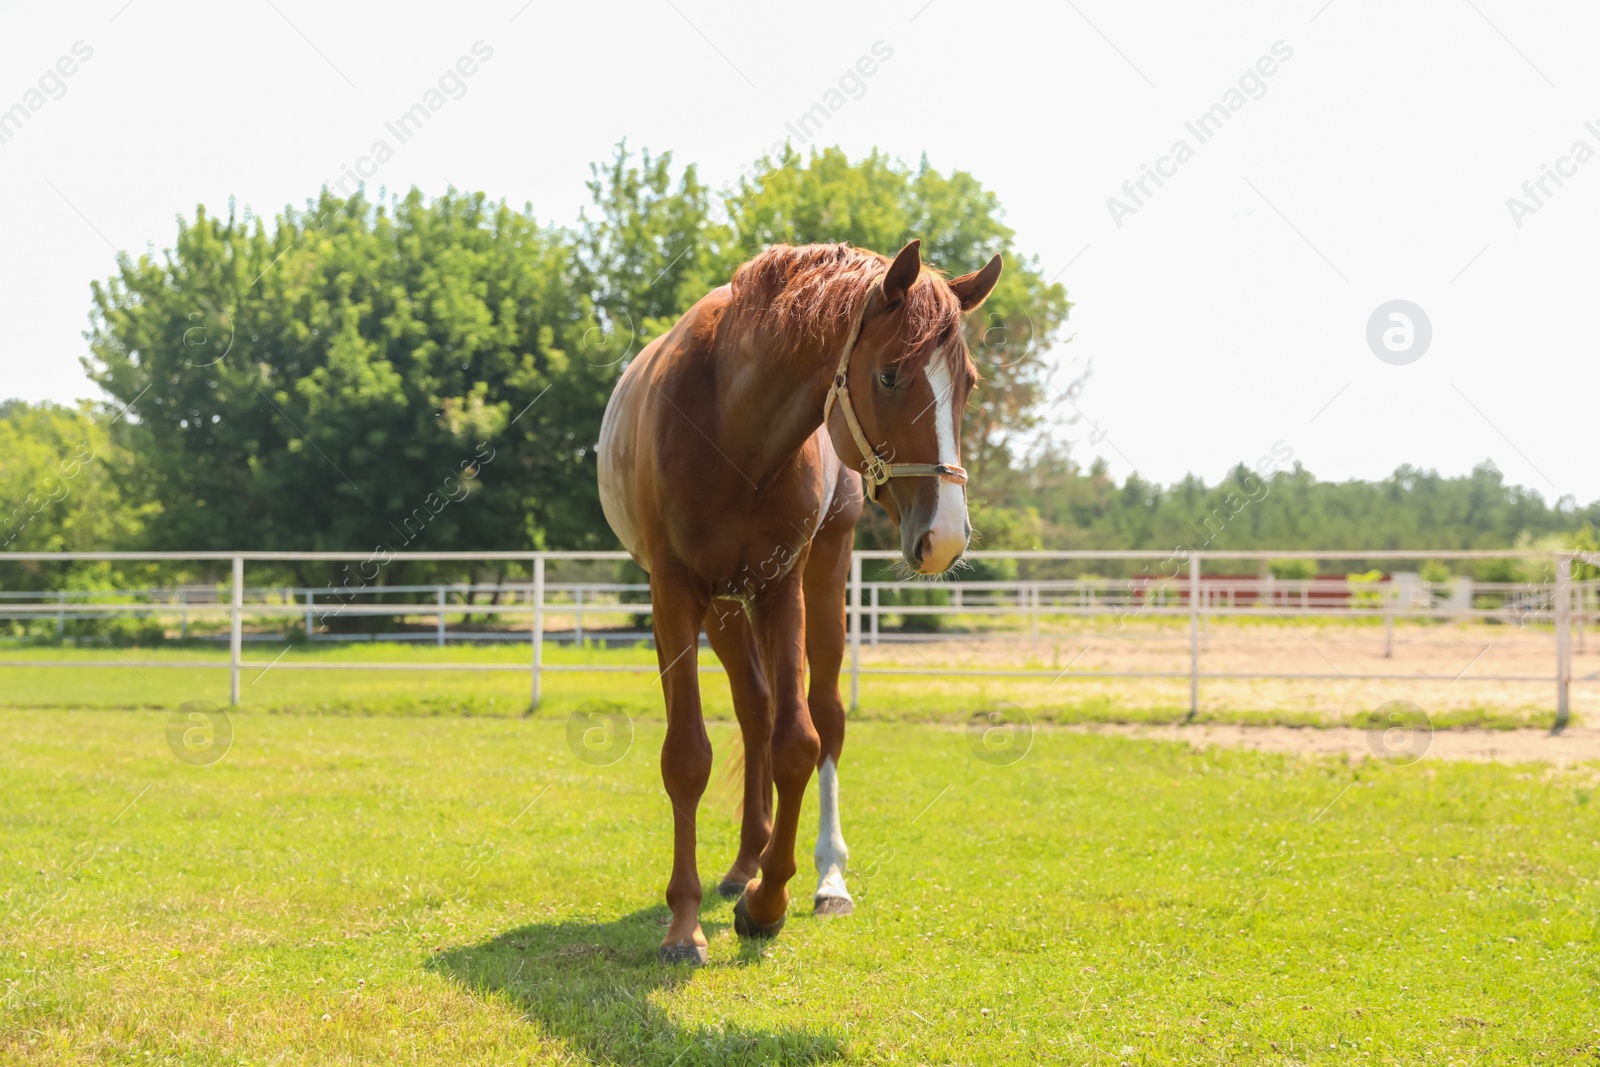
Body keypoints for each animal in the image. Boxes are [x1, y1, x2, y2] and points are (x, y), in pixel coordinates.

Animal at [601, 238, 998, 966]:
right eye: (891, 376)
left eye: (967, 385)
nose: (948, 537)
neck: (733, 428)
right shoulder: (674, 590)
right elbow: (688, 755)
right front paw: (685, 923)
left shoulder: (780, 584)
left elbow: (799, 741)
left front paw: (769, 902)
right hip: (724, 608)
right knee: (753, 711)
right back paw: (741, 864)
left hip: (819, 574)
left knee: (824, 716)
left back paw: (824, 877)